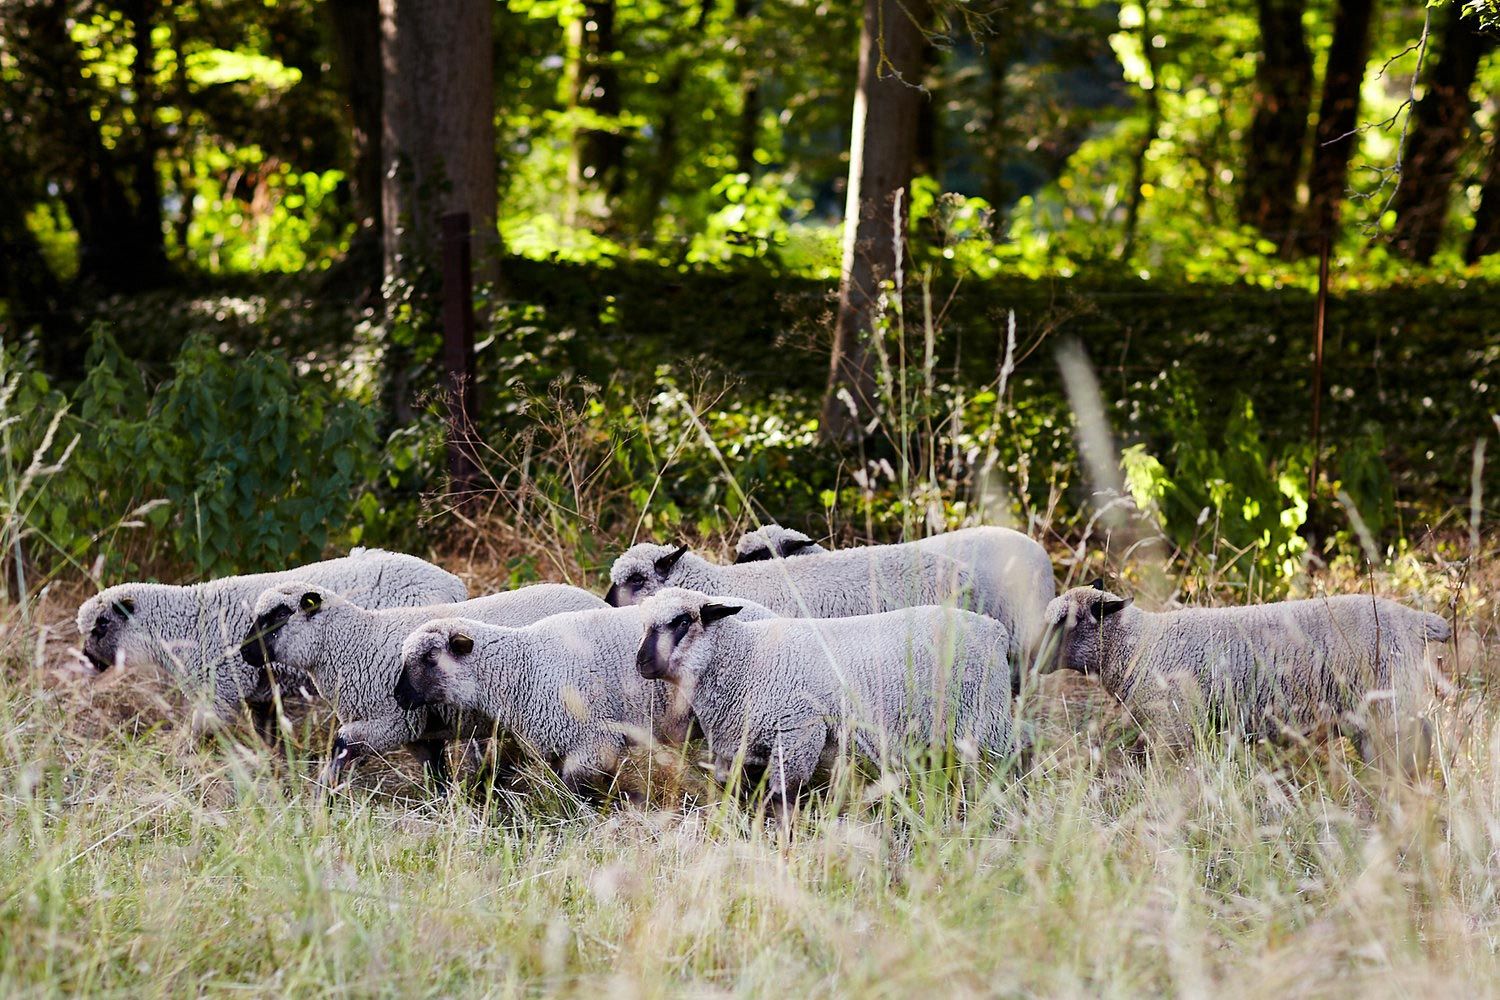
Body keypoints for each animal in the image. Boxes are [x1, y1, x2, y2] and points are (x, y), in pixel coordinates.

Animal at [70, 551, 465, 731]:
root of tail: (455, 585)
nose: (87, 661)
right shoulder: (259, 693)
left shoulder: (220, 692)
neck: (185, 622)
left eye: (101, 625)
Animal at [240, 578, 603, 791]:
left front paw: (324, 797)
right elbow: (435, 774)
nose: (244, 652)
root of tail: (601, 603)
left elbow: (340, 745)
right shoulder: (418, 732)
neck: (353, 644)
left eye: (279, 614)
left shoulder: (395, 721)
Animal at [627, 590, 1014, 815]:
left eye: (682, 620)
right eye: (643, 624)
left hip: (987, 717)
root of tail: (992, 627)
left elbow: (781, 799)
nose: (641, 663)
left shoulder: (798, 733)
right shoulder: (744, 748)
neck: (747, 659)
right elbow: (739, 793)